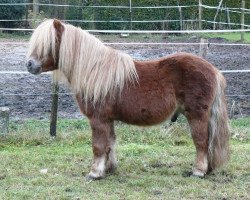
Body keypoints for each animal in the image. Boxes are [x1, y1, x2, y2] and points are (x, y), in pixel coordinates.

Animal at [26, 19, 229, 180]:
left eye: (49, 43)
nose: (29, 64)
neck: (94, 72)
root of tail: (213, 70)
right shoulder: (108, 119)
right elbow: (110, 143)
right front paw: (109, 169)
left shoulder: (98, 119)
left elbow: (98, 146)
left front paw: (95, 173)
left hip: (196, 115)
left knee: (201, 141)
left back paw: (198, 171)